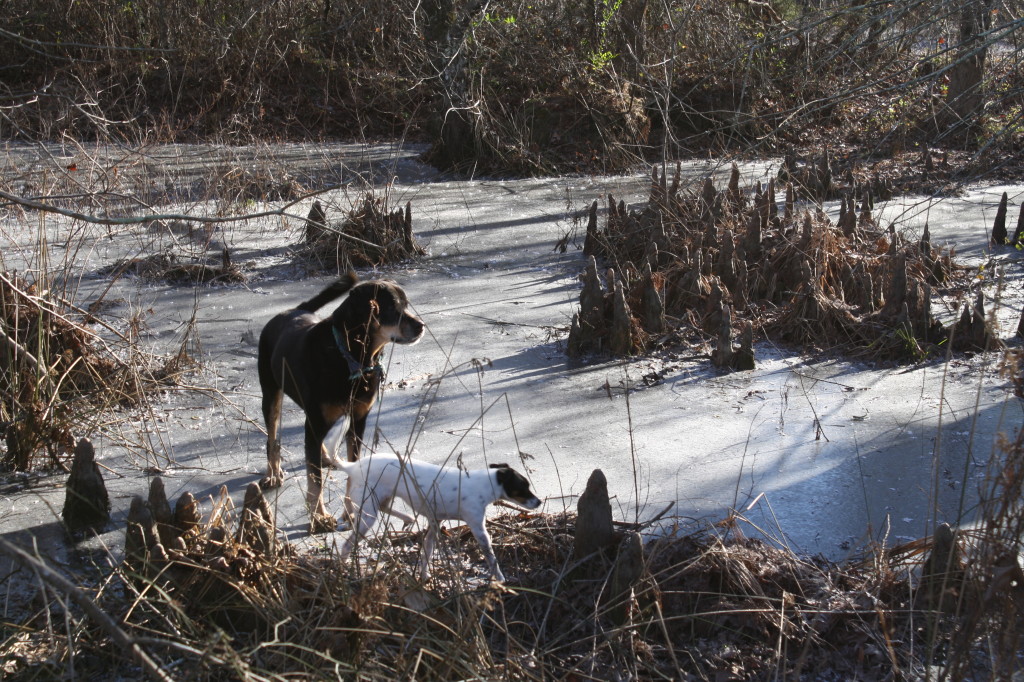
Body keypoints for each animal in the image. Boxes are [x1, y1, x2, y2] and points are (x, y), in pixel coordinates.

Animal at [260, 270, 428, 532]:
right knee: (272, 437)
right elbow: (315, 480)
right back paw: (273, 473)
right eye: (392, 308)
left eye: (406, 304)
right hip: (270, 393)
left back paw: (326, 457)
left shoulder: (358, 420)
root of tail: (293, 310)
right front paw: (319, 518)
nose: (421, 326)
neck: (351, 357)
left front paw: (349, 513)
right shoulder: (314, 422)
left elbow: (352, 469)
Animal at [337, 450, 544, 577]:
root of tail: (352, 466)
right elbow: (491, 557)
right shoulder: (478, 529)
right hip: (367, 516)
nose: (539, 502)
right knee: (347, 545)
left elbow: (427, 550)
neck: (483, 484)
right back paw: (345, 569)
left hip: (379, 499)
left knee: (380, 508)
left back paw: (407, 518)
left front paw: (424, 575)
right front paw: (500, 580)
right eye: (523, 488)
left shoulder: (435, 522)